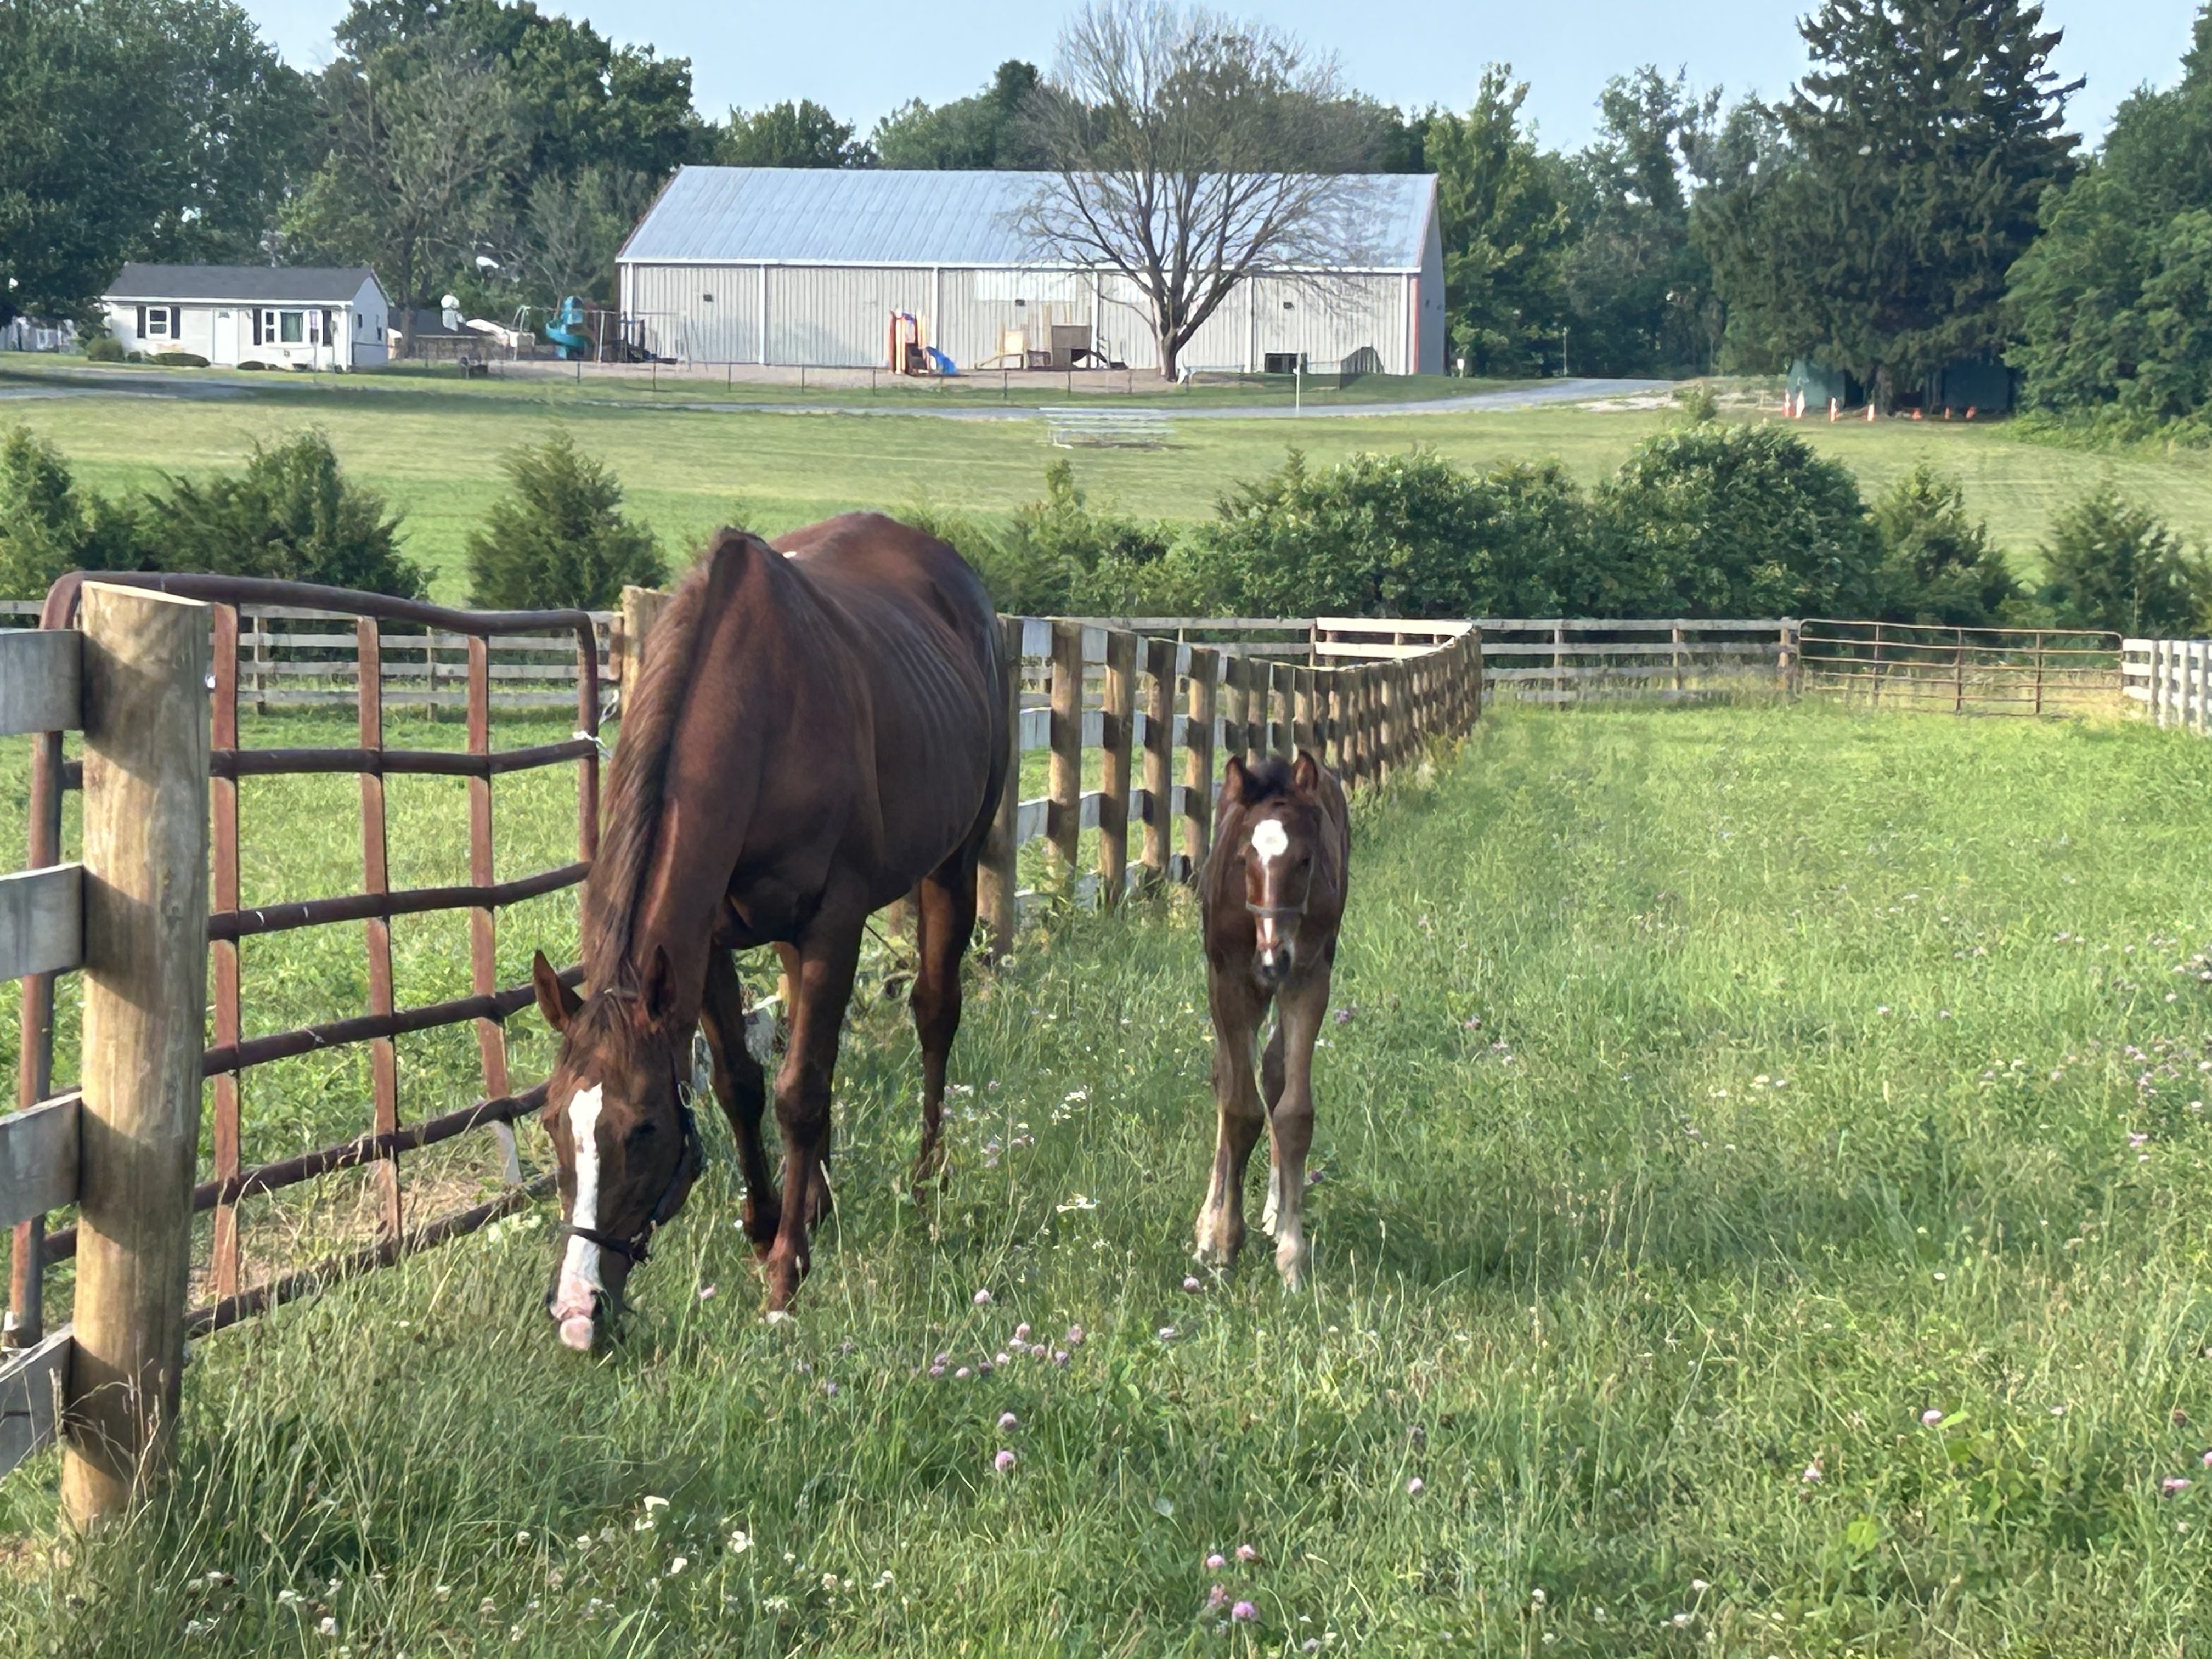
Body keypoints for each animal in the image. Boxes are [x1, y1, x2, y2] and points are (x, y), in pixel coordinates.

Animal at [529, 513, 1009, 1348]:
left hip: (953, 864)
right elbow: (742, 1086)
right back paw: (817, 1199)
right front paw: (767, 1228)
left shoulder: (834, 923)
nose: (580, 1313)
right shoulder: (706, 943)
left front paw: (787, 1274)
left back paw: (926, 1179)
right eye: (555, 1120)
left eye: (644, 1129)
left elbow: (800, 1093)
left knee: (935, 1014)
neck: (758, 708)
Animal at [1192, 751, 1351, 1289]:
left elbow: (1293, 1112)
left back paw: (1276, 1213)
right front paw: (1222, 1241)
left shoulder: (1308, 980)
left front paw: (1292, 1254)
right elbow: (1239, 1108)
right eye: (1245, 859)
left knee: (1274, 1068)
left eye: (1306, 860)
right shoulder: (1230, 983)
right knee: (1227, 1078)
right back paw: (1210, 1221)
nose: (1271, 960)